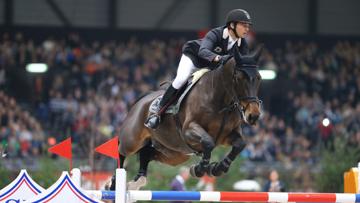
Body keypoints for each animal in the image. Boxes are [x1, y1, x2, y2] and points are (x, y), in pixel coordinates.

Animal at [111, 45, 262, 190]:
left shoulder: (226, 136)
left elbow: (240, 144)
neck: (222, 101)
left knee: (147, 153)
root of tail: (141, 100)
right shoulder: (189, 130)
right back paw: (113, 183)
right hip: (132, 140)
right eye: (239, 78)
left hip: (174, 153)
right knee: (121, 151)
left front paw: (218, 168)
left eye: (259, 78)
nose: (253, 115)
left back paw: (137, 180)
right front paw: (199, 169)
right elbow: (208, 142)